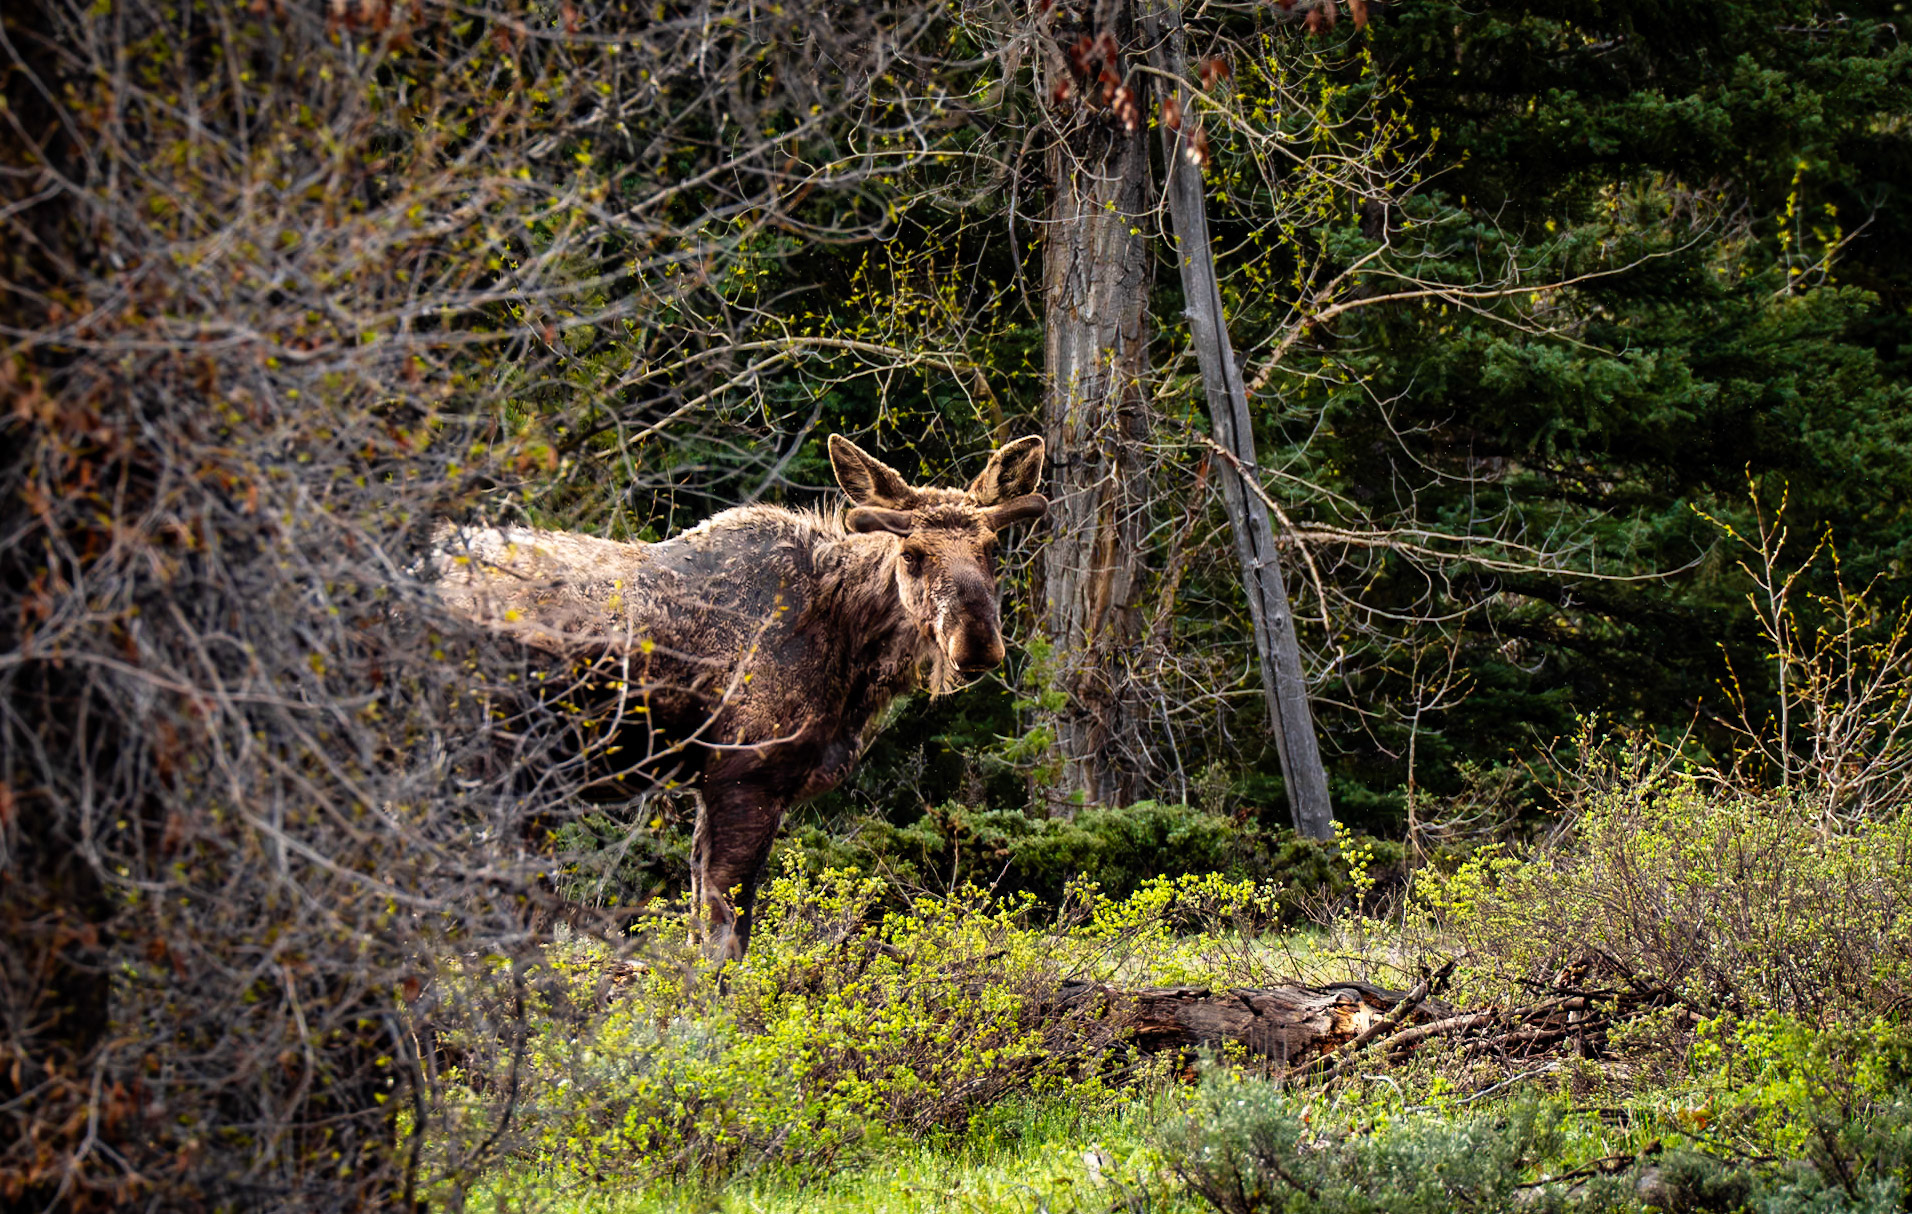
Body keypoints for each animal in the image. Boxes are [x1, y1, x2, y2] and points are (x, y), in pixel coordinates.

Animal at [433, 435, 1048, 960]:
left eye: (992, 550)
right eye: (912, 553)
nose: (977, 642)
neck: (850, 646)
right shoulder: (745, 774)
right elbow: (726, 936)